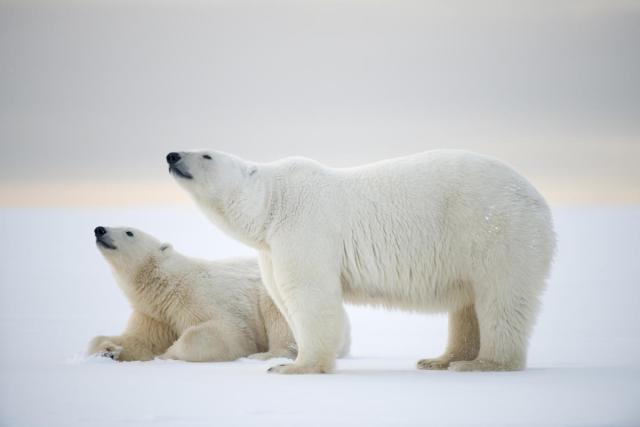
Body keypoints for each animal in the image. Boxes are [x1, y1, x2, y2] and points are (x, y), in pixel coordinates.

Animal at [88, 226, 351, 362]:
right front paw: (108, 350)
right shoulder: (154, 315)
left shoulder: (198, 296)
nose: (99, 229)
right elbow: (140, 339)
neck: (166, 286)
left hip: (277, 292)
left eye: (129, 232)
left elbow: (225, 333)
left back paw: (265, 355)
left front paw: (169, 353)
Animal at [166, 149, 555, 374]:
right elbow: (283, 297)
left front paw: (295, 367)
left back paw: (486, 363)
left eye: (206, 155)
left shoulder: (305, 227)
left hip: (497, 231)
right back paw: (440, 359)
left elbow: (309, 294)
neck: (275, 203)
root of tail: (539, 199)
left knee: (500, 297)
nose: (171, 155)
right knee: (467, 303)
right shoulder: (271, 248)